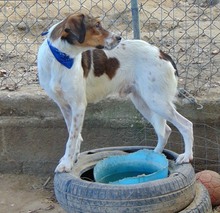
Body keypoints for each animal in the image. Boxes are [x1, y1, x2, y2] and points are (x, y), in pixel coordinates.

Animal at [37, 12, 192, 173]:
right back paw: (153, 157)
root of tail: (162, 53)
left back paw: (186, 156)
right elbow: (75, 136)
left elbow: (72, 138)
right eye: (97, 25)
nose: (119, 37)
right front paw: (72, 159)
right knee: (165, 131)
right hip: (143, 103)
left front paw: (66, 164)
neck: (60, 58)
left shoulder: (78, 105)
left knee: (186, 125)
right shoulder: (65, 106)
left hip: (156, 102)